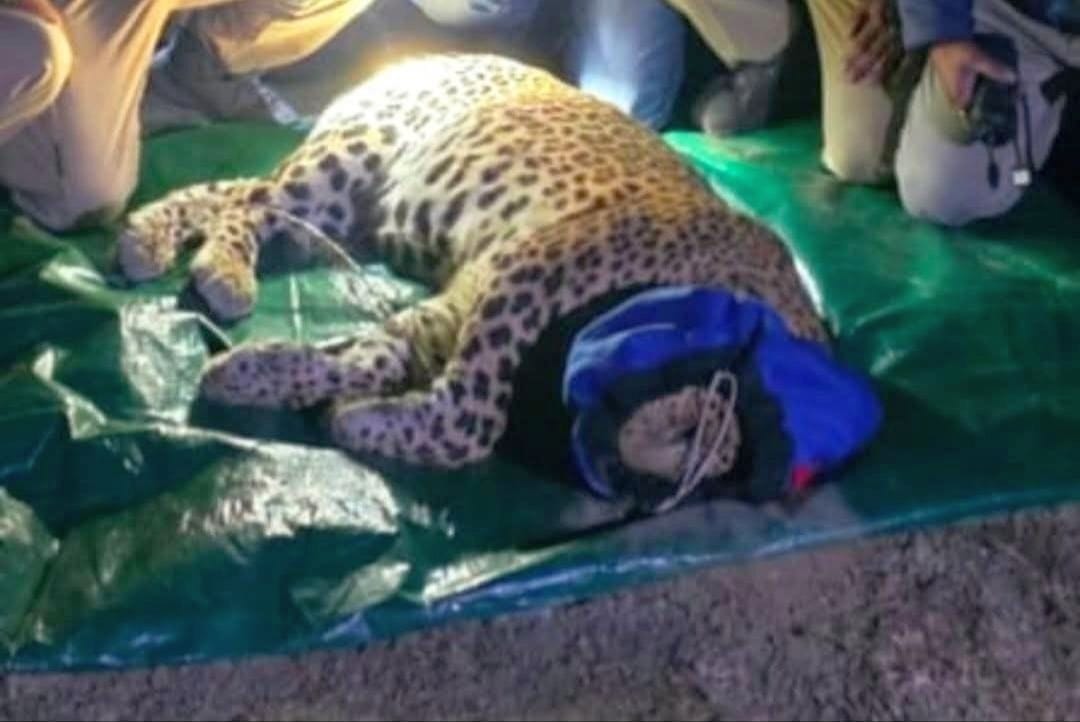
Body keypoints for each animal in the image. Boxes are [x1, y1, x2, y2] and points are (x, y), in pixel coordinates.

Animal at [115, 52, 828, 475]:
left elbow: (375, 360)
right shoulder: (533, 269)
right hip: (352, 159)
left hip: (341, 214)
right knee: (248, 204)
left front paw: (267, 378)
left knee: (232, 194)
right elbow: (471, 417)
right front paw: (341, 412)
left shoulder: (458, 308)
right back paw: (221, 271)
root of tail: (417, 57)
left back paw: (144, 239)